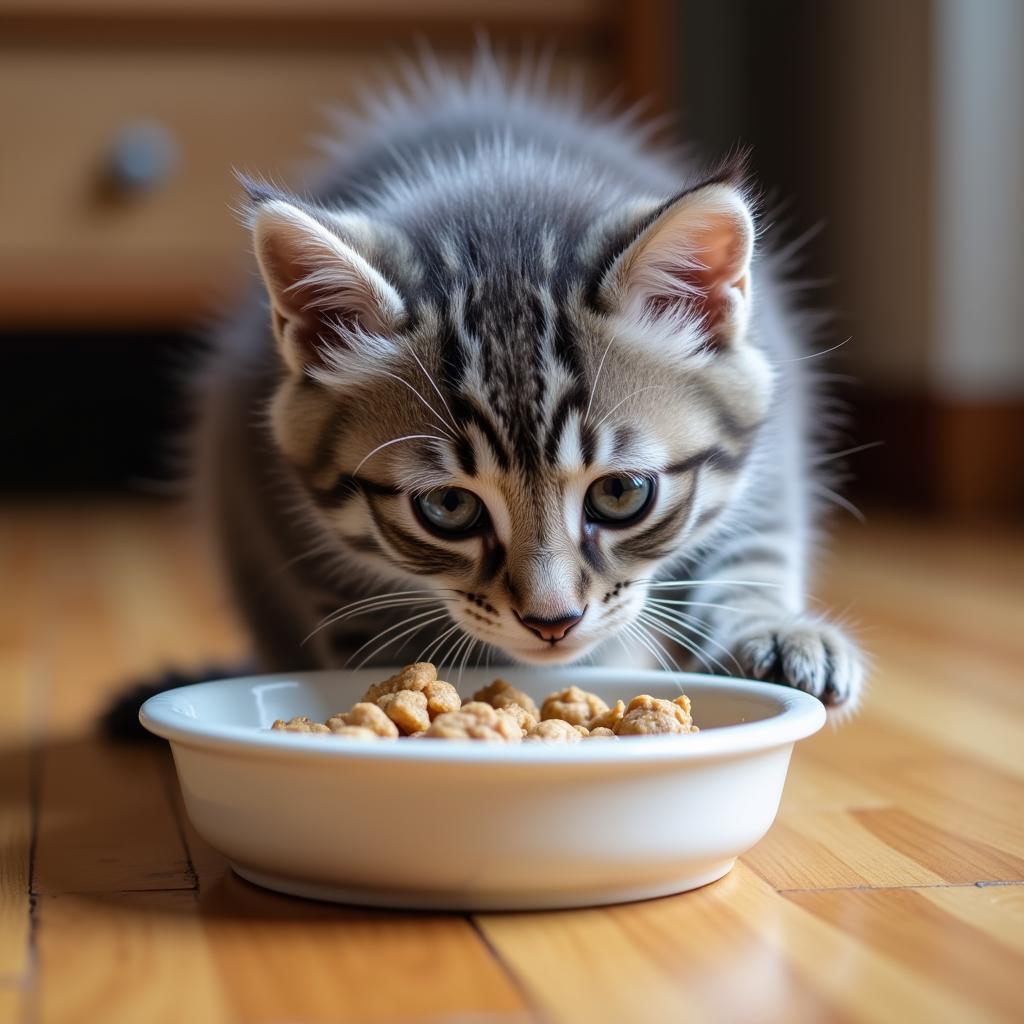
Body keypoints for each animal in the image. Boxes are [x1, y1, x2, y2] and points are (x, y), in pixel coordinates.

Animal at [193, 58, 864, 712]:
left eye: (620, 493)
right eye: (449, 506)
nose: (552, 622)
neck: (503, 198)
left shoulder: (772, 443)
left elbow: (757, 546)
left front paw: (773, 630)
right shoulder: (289, 530)